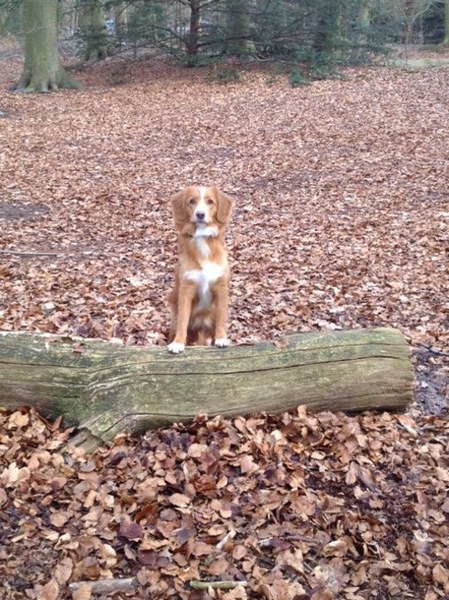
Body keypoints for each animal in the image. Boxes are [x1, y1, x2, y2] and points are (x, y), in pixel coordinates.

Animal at [165, 185, 234, 354]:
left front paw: (221, 338)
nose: (200, 214)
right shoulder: (186, 288)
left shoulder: (221, 287)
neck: (202, 237)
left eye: (210, 201)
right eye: (192, 201)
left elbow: (221, 316)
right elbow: (183, 319)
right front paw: (178, 343)